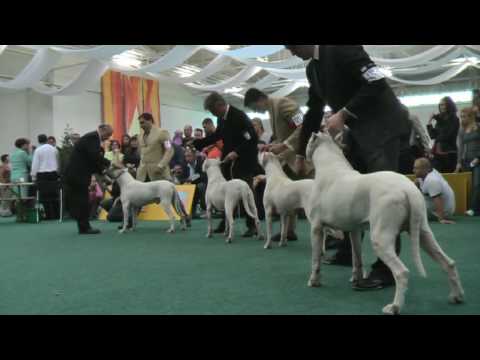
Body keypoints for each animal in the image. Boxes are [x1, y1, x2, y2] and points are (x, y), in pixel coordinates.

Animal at [306, 131, 464, 316]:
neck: (331, 164)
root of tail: (408, 189)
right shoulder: (354, 231)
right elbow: (357, 258)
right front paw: (356, 278)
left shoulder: (316, 228)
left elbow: (316, 258)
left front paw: (314, 281)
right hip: (423, 233)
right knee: (448, 263)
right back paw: (456, 296)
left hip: (380, 238)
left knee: (401, 272)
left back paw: (394, 306)